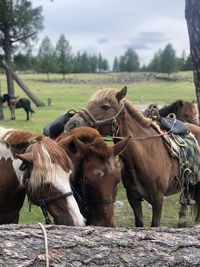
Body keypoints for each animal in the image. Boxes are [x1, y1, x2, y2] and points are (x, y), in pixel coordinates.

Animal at [64, 86, 200, 228]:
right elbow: (139, 223)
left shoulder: (158, 199)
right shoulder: (133, 198)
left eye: (105, 106)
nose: (71, 124)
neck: (145, 156)